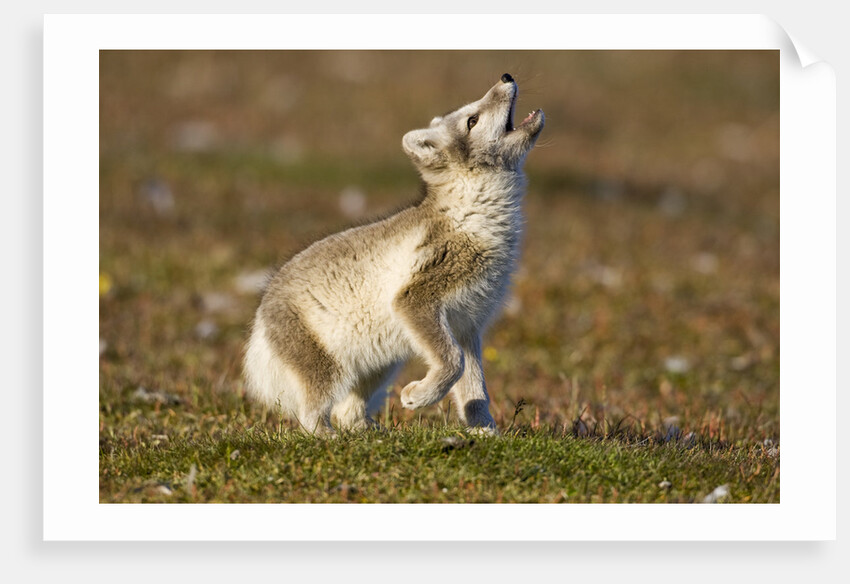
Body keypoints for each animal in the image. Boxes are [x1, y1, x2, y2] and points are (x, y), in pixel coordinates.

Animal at [243, 73, 544, 435]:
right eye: (472, 120)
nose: (506, 77)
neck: (471, 215)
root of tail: (259, 320)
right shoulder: (416, 298)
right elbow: (454, 363)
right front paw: (418, 397)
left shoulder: (467, 324)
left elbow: (474, 386)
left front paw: (484, 431)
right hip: (328, 369)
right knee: (310, 413)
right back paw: (327, 436)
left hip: (379, 365)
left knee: (348, 412)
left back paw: (370, 433)